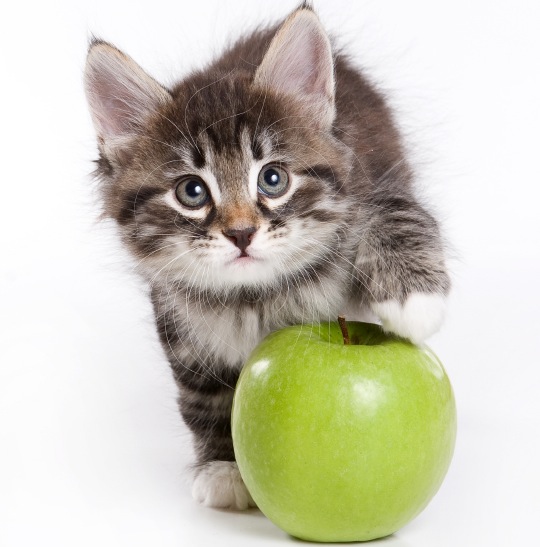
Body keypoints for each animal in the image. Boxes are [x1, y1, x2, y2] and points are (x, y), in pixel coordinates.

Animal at [84, 3, 450, 512]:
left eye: (272, 179)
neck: (256, 297)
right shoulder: (183, 330)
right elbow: (205, 396)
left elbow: (399, 213)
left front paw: (415, 302)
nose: (241, 233)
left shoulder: (373, 182)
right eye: (191, 191)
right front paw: (223, 466)